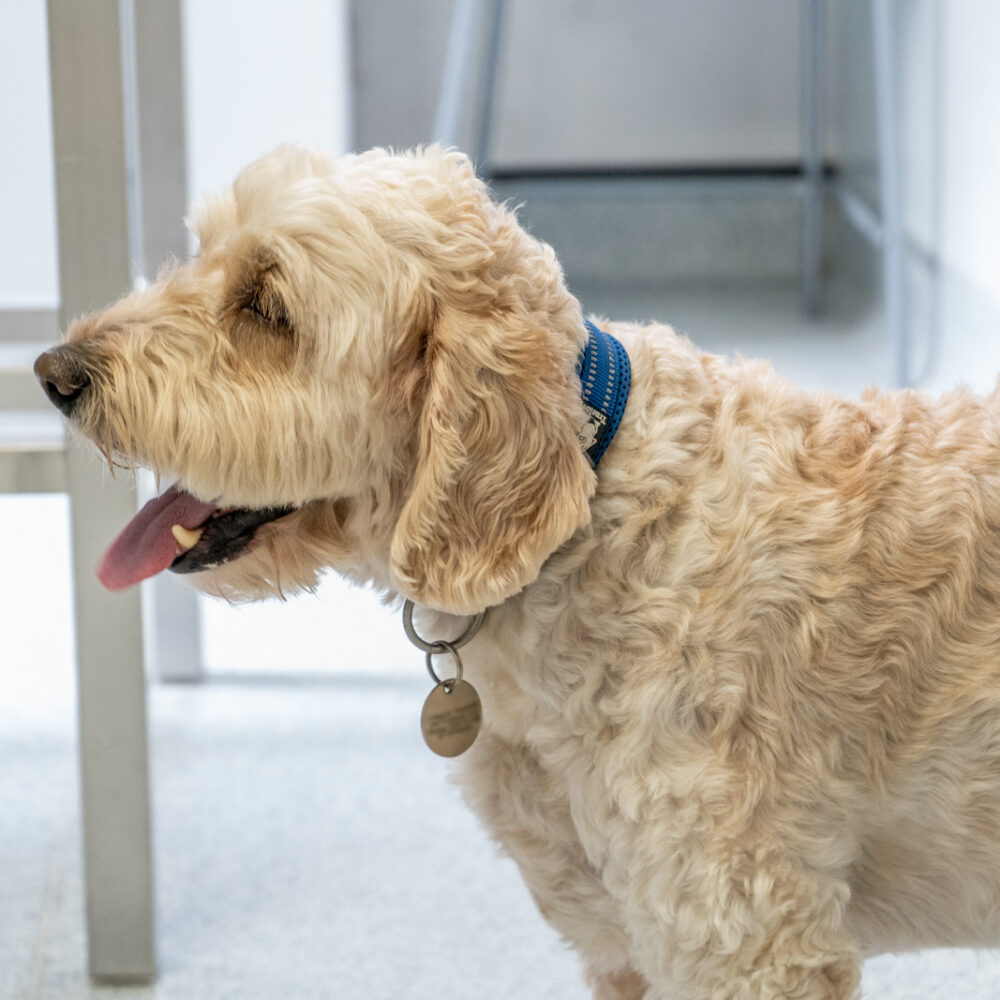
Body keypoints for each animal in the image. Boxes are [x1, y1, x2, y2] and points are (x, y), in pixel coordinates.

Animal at [37, 145, 1000, 996]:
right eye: (202, 252)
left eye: (267, 306)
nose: (52, 372)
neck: (593, 519)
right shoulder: (619, 941)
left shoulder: (744, 938)